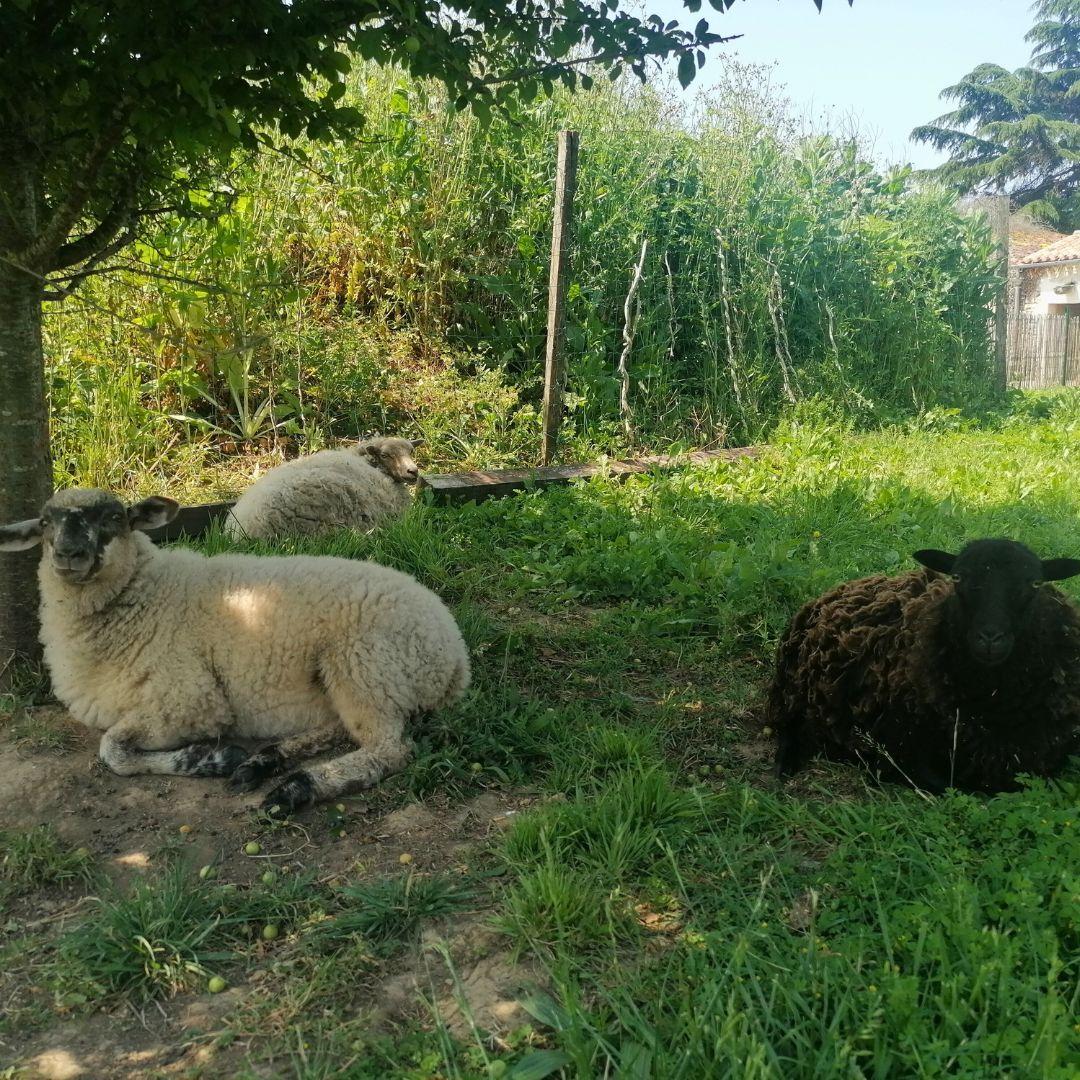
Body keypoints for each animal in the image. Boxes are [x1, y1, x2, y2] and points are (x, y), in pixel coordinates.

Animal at [0, 487, 470, 815]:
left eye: (115, 517)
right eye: (45, 523)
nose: (69, 554)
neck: (145, 594)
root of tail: (455, 656)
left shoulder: (191, 700)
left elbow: (111, 750)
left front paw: (205, 757)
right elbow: (112, 748)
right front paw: (220, 759)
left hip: (366, 665)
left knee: (388, 750)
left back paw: (297, 789)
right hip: (357, 681)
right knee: (342, 729)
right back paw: (263, 762)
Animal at [767, 538, 1080, 794]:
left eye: (1035, 583)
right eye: (957, 577)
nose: (990, 638)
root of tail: (839, 588)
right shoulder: (902, 750)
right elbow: (960, 788)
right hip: (792, 690)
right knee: (787, 728)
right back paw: (785, 767)